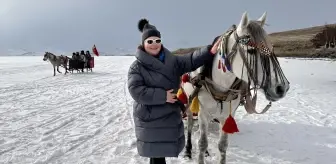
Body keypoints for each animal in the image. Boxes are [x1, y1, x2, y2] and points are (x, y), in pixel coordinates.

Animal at [182, 11, 290, 164]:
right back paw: (188, 150)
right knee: (191, 125)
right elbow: (202, 143)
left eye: (272, 48)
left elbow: (222, 145)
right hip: (191, 104)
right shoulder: (203, 114)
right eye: (251, 50)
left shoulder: (227, 115)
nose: (282, 88)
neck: (220, 84)